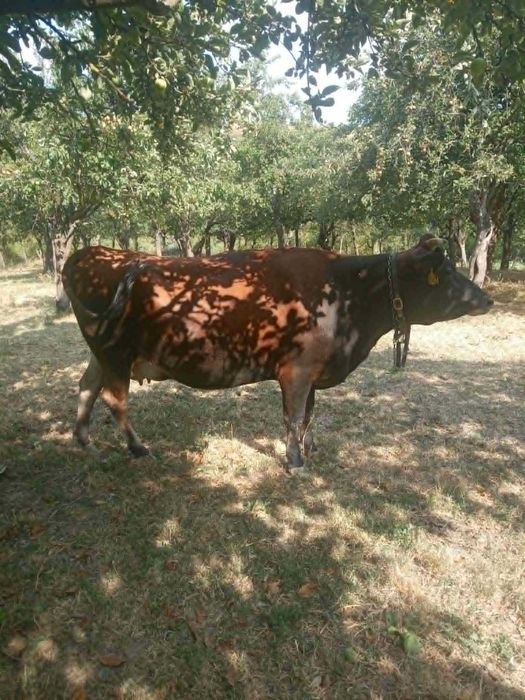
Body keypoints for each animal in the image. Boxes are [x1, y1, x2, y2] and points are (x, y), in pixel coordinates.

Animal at [62, 235, 493, 472]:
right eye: (446, 273)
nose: (486, 298)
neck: (347, 294)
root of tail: (88, 253)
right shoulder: (296, 370)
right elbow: (295, 415)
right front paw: (295, 460)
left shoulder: (314, 371)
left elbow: (310, 414)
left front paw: (309, 447)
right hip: (116, 353)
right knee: (114, 399)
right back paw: (137, 449)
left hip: (101, 353)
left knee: (86, 386)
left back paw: (86, 443)